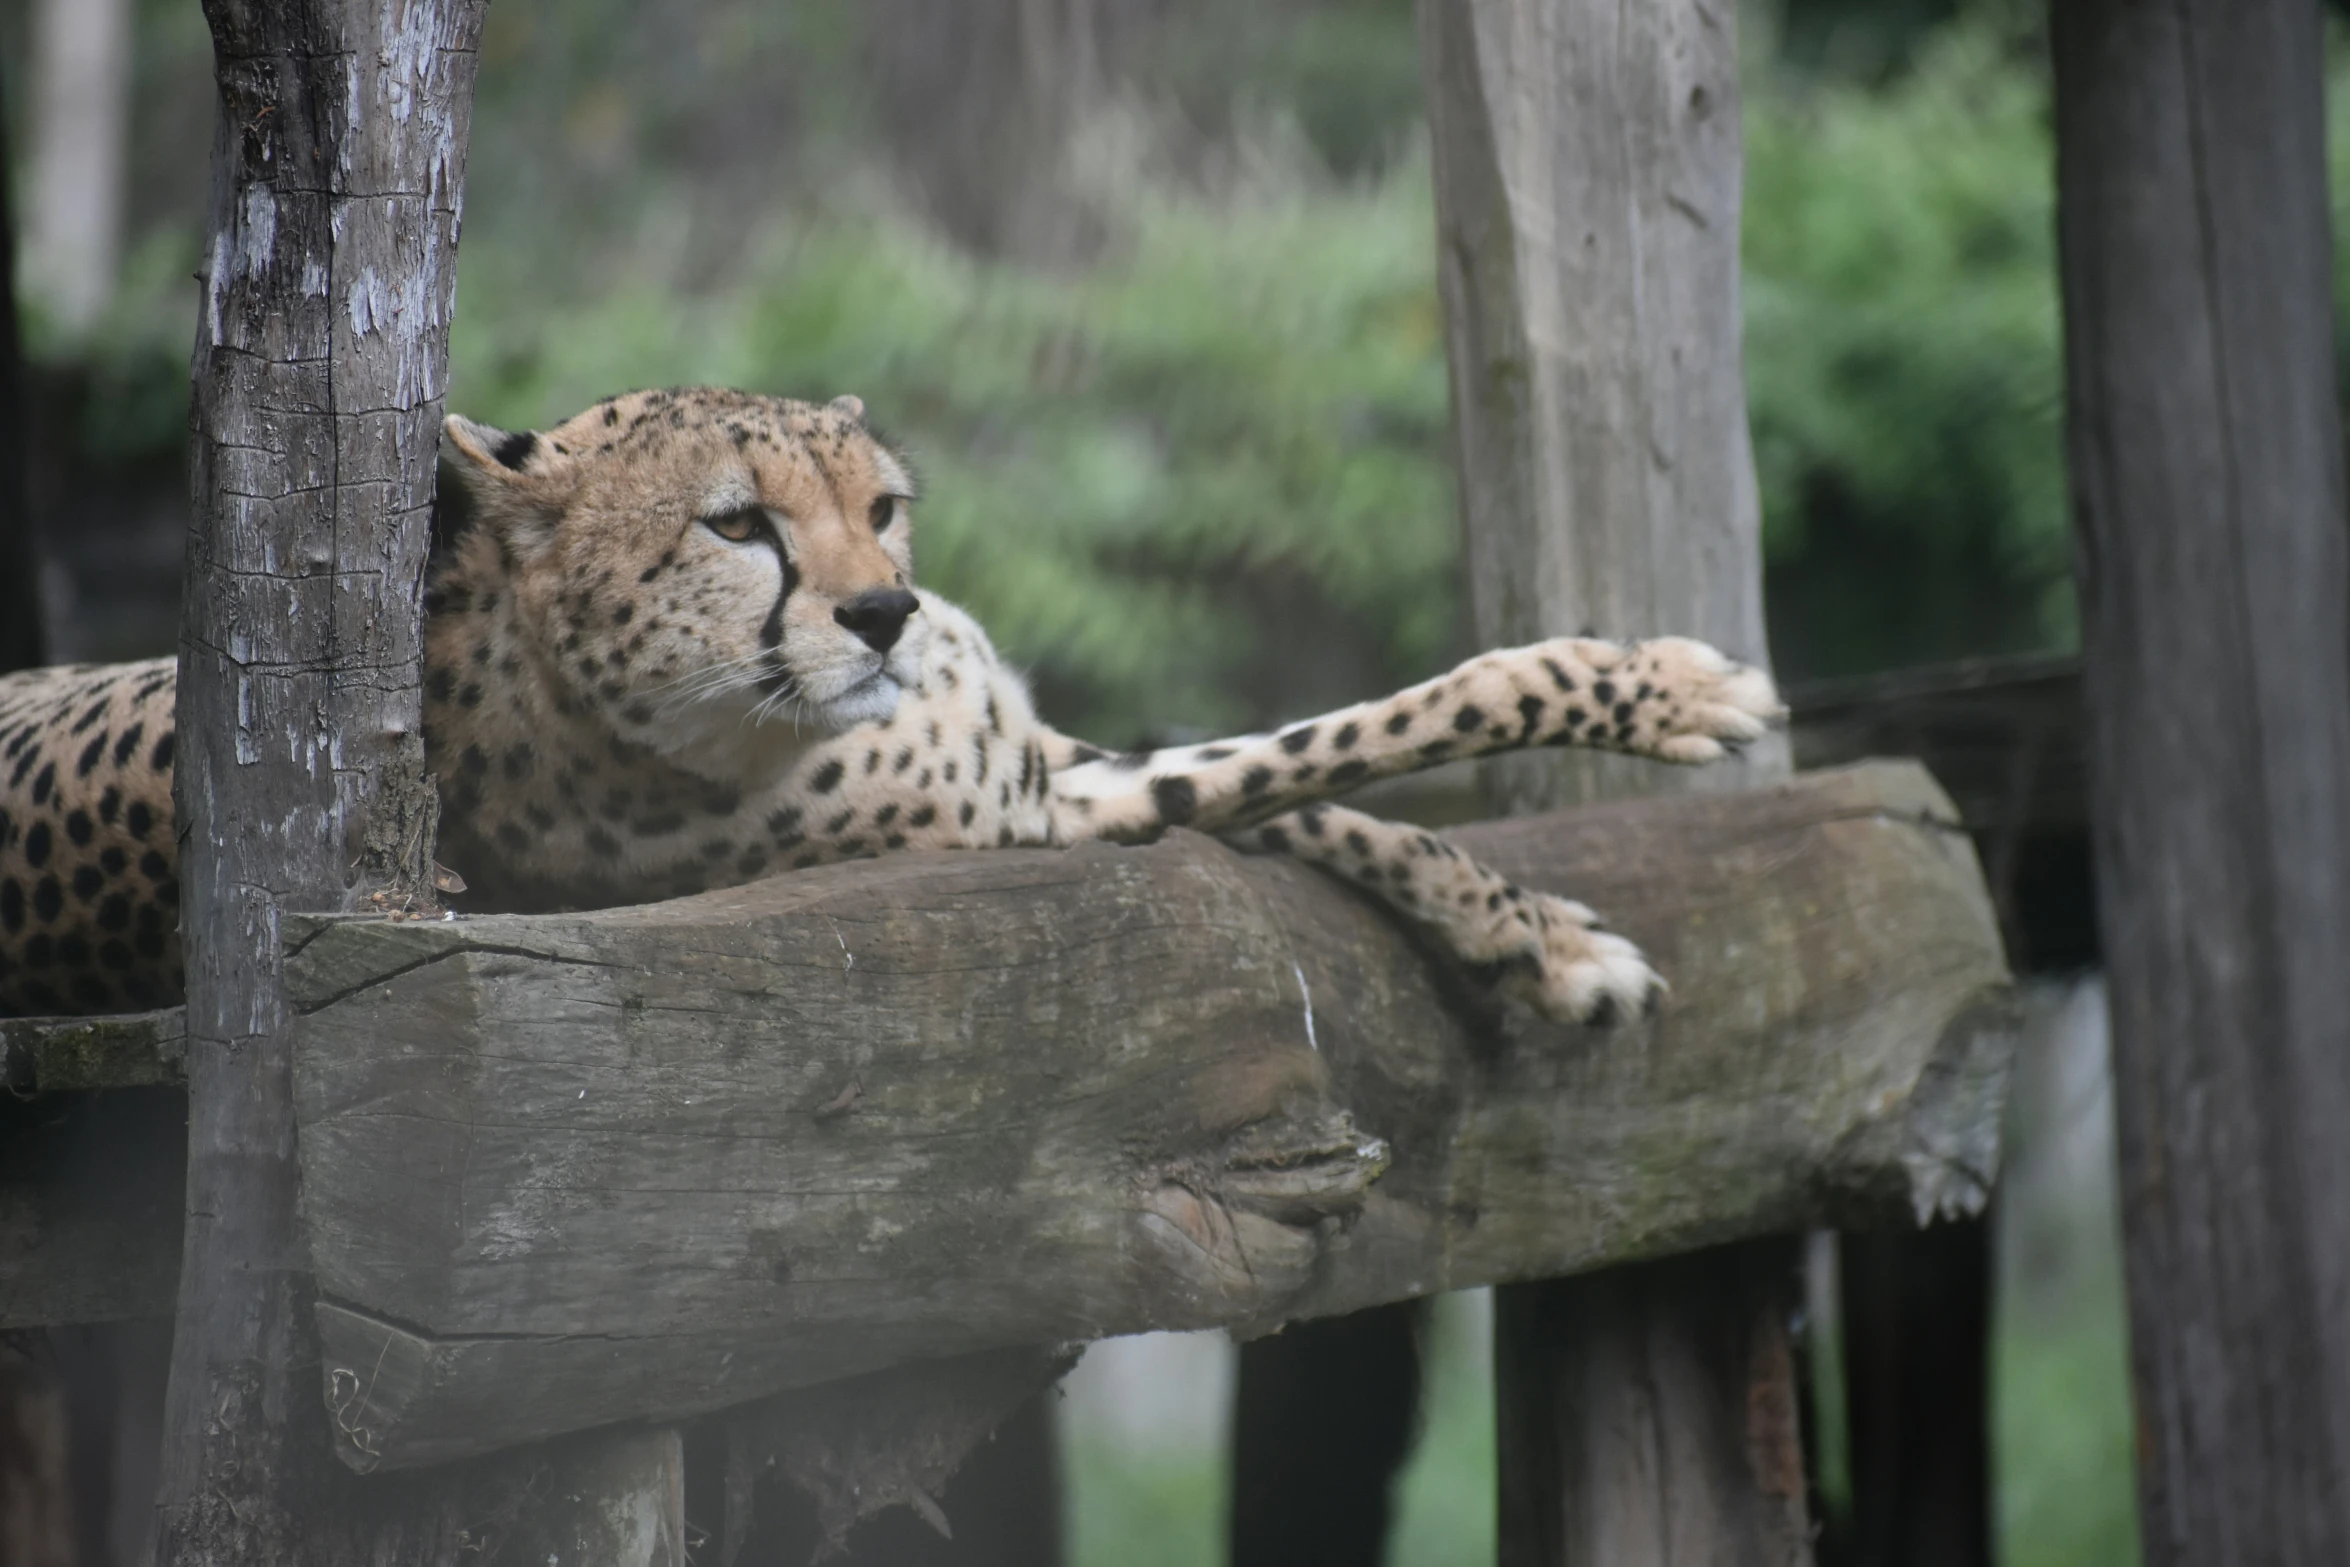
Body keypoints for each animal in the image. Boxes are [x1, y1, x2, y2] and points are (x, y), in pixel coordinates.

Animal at [0, 389, 1767, 1024]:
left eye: (883, 505)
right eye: (736, 524)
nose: (883, 609)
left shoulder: (1047, 753)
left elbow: (1337, 801)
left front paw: (1536, 934)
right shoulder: (1039, 803)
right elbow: (1367, 729)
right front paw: (1672, 689)